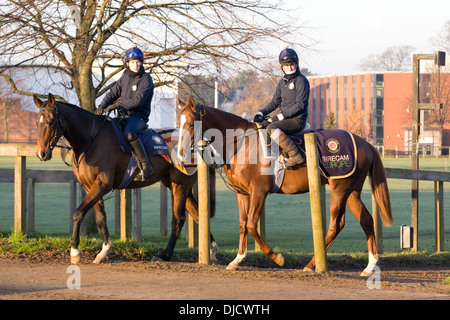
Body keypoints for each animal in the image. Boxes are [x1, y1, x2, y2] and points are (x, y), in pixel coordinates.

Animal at [35, 93, 218, 264]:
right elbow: (100, 217)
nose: (41, 153)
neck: (91, 140)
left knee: (179, 219)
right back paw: (211, 250)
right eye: (37, 122)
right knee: (198, 214)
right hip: (178, 186)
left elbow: (78, 213)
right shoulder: (90, 186)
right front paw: (104, 250)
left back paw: (165, 255)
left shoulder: (102, 185)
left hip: (179, 186)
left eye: (51, 122)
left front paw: (74, 251)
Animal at [178, 96, 392, 276]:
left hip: (340, 188)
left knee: (335, 225)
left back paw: (312, 264)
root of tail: (364, 143)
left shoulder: (259, 192)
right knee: (366, 220)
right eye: (178, 123)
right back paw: (370, 266)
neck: (242, 144)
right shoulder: (242, 193)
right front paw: (237, 259)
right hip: (352, 191)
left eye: (191, 123)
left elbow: (251, 225)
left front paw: (277, 258)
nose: (181, 154)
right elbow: (242, 225)